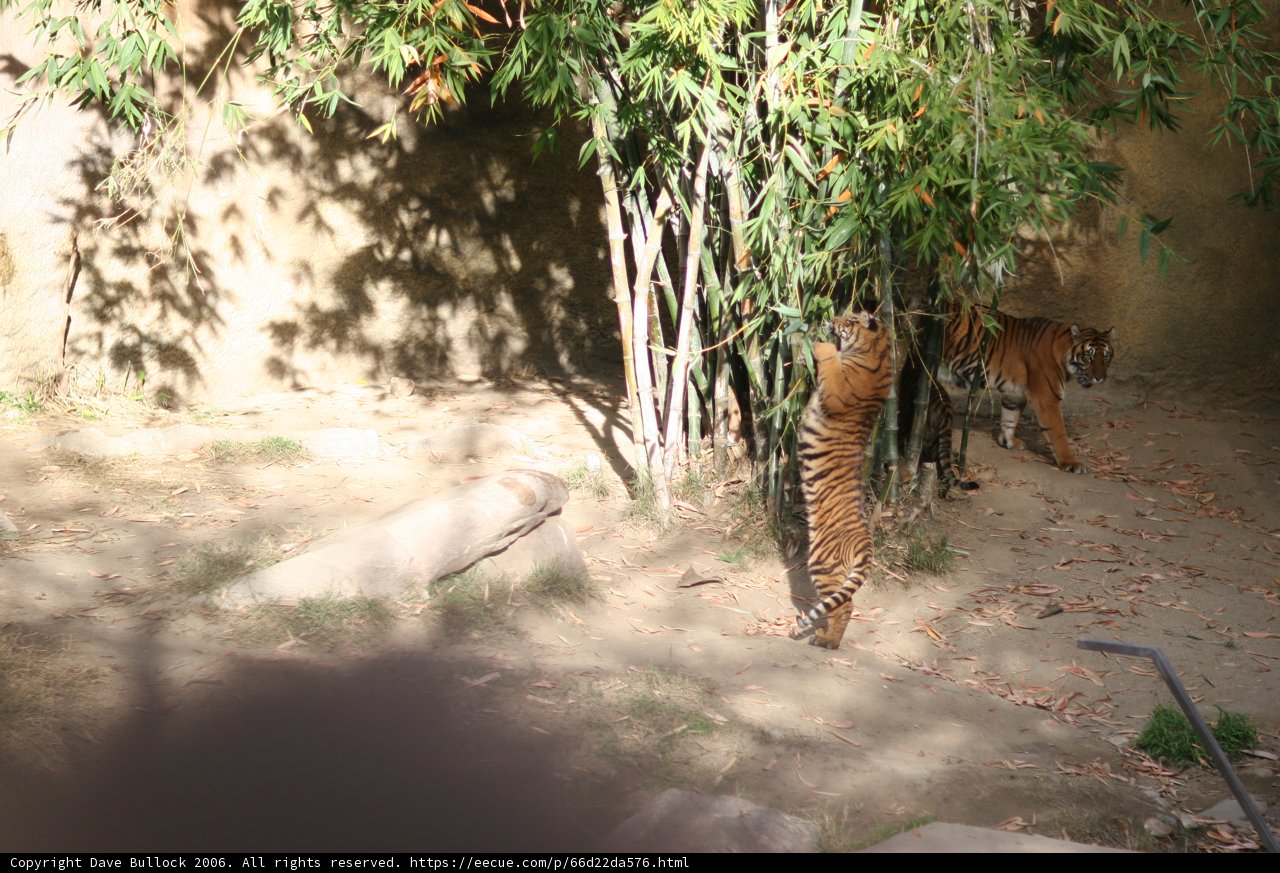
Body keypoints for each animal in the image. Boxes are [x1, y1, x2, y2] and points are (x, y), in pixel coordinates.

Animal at [791, 311, 894, 649]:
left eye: (849, 319)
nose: (831, 318)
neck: (880, 353)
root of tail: (867, 543)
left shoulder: (838, 391)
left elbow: (830, 361)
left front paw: (817, 344)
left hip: (822, 564)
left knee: (844, 606)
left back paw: (826, 640)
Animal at [940, 306, 1116, 475]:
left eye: (1106, 356)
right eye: (1088, 356)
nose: (1100, 378)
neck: (1063, 350)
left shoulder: (1014, 393)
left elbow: (1010, 417)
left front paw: (1008, 441)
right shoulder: (1047, 397)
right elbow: (1058, 432)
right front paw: (1070, 463)